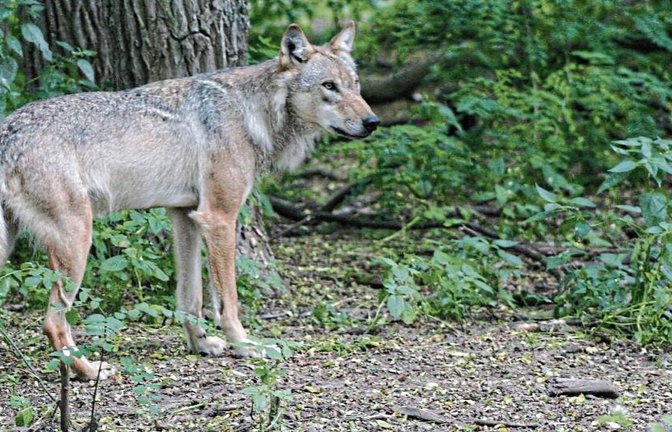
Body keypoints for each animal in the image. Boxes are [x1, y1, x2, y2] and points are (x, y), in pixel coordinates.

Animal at [0, 21, 378, 380]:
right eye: (329, 86)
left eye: (356, 84)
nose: (372, 121)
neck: (251, 113)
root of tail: (8, 131)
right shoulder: (219, 218)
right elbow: (228, 301)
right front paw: (245, 346)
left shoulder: (185, 216)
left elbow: (190, 298)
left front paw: (201, 344)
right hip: (77, 241)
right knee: (53, 322)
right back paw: (90, 371)